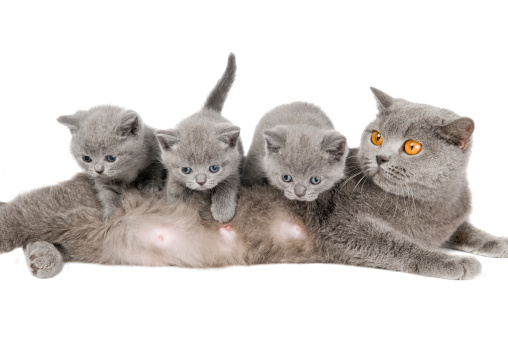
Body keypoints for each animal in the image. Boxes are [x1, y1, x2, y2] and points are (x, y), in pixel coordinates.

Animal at [156, 53, 243, 223]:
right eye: (186, 170)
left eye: (214, 168)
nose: (201, 181)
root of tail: (207, 110)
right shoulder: (174, 179)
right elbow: (174, 195)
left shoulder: (233, 170)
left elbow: (227, 186)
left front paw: (223, 211)